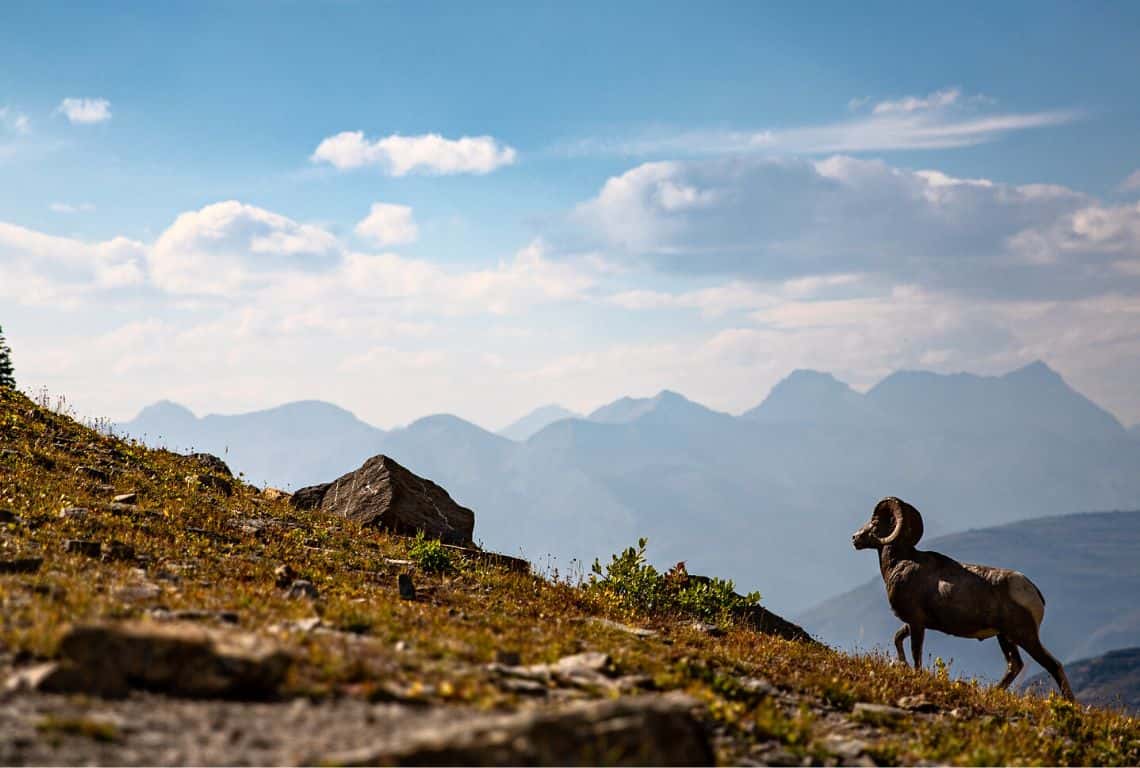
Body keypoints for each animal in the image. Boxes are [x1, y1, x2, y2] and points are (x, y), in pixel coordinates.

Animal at [852, 496, 1071, 701]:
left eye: (875, 522)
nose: (854, 538)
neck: (900, 563)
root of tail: (1033, 591)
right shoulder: (913, 623)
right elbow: (898, 639)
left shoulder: (916, 623)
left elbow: (916, 653)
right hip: (1005, 637)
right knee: (1014, 665)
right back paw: (991, 693)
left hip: (1024, 636)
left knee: (1052, 665)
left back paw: (1069, 703)